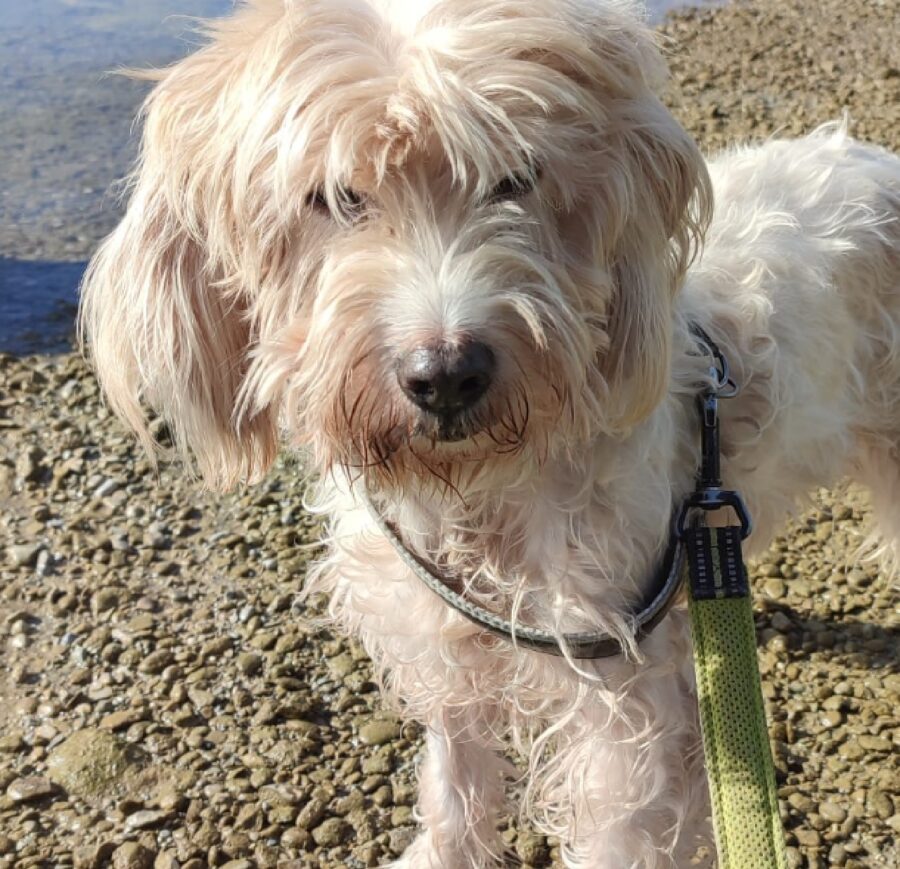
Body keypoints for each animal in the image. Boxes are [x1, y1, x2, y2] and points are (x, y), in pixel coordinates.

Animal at [79, 0, 900, 864]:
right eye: (337, 197)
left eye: (517, 177)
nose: (446, 374)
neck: (480, 493)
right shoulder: (442, 638)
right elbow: (455, 779)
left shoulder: (621, 700)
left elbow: (615, 831)